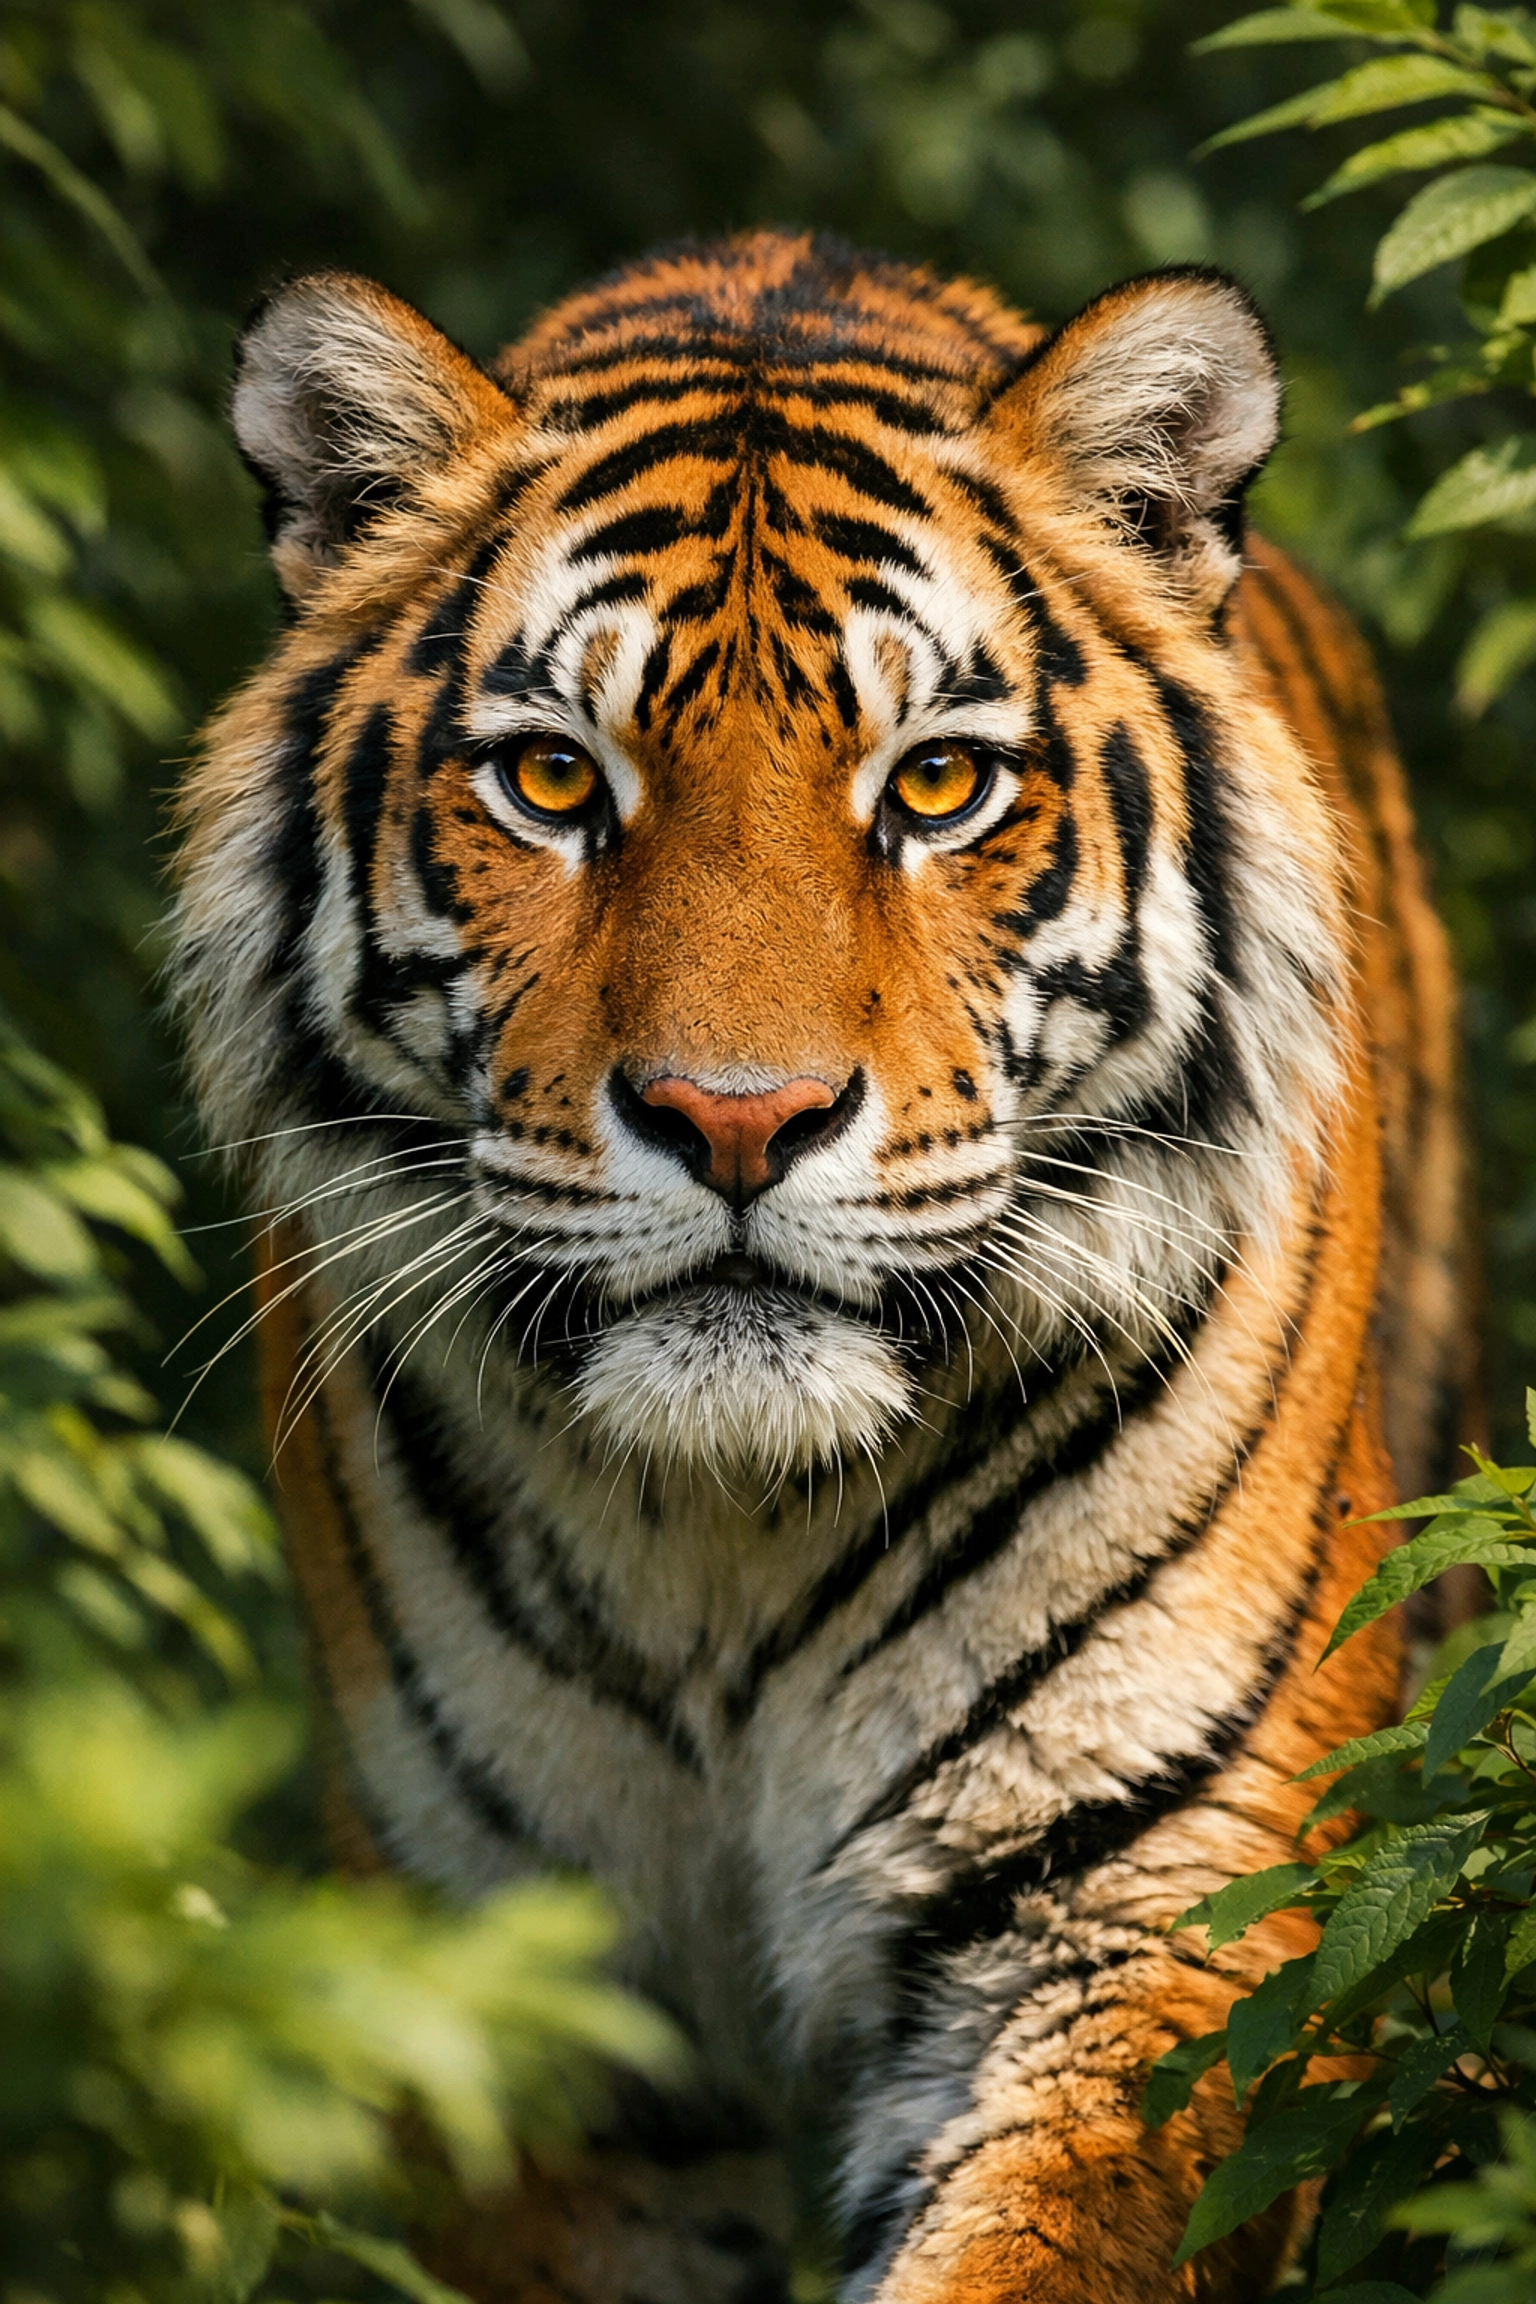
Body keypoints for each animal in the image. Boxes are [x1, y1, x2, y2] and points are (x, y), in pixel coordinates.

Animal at [172, 231, 1466, 2304]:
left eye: (935, 786)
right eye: (553, 780)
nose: (735, 1117)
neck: (731, 1533)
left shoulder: (1144, 1912)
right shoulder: (508, 1973)